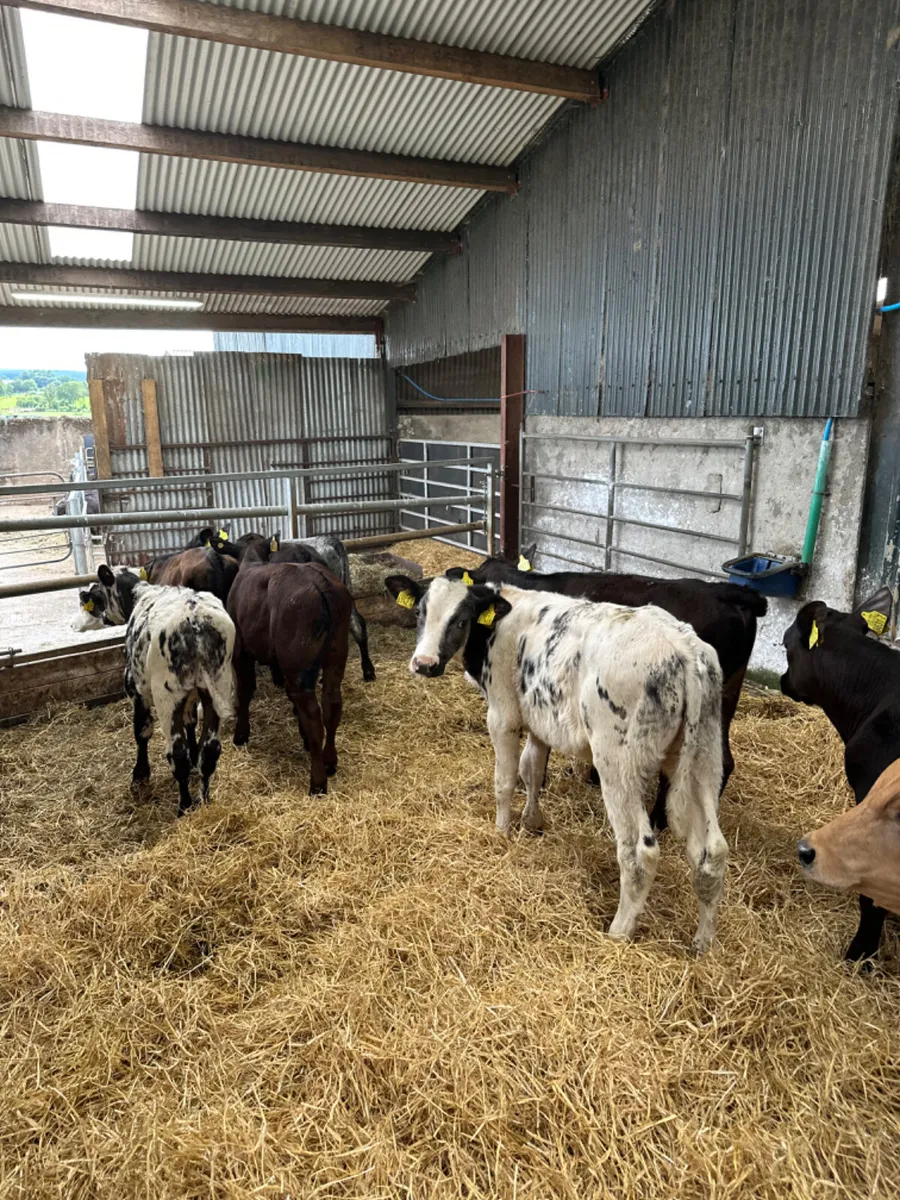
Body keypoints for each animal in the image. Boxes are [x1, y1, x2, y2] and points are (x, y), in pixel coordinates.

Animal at [94, 564, 235, 814]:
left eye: (100, 593)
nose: (103, 618)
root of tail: (195, 619)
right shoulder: (191, 695)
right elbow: (190, 723)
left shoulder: (136, 689)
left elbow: (142, 731)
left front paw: (140, 774)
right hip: (217, 687)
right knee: (210, 750)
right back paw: (205, 801)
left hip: (166, 696)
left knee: (177, 753)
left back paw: (184, 805)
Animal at [227, 559, 353, 795]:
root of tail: (319, 580)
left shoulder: (240, 649)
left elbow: (245, 691)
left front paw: (241, 734)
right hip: (335, 655)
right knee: (331, 706)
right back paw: (329, 761)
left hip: (298, 666)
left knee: (314, 716)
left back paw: (317, 782)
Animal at [385, 573, 728, 953]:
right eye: (419, 612)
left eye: (460, 620)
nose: (424, 663)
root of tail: (684, 648)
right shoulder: (540, 720)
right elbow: (532, 770)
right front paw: (532, 821)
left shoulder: (503, 715)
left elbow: (505, 779)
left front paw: (502, 833)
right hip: (703, 757)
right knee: (711, 850)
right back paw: (703, 941)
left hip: (618, 762)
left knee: (639, 852)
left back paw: (618, 932)